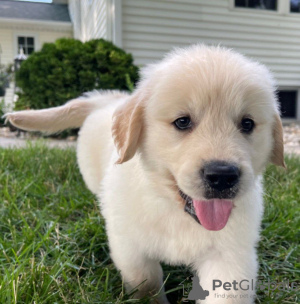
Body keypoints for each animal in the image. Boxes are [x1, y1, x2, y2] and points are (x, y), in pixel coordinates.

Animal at [5, 45, 284, 304]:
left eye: (247, 124)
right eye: (182, 122)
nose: (223, 175)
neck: (176, 211)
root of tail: (106, 99)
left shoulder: (231, 255)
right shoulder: (131, 247)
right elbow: (146, 283)